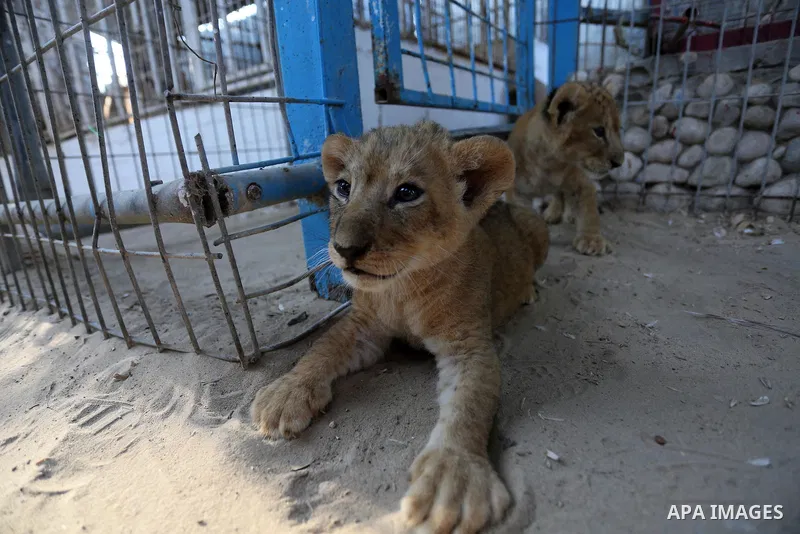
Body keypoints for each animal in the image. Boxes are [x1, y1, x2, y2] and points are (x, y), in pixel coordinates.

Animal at [251, 120, 549, 533]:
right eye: (343, 187)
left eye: (407, 193)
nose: (344, 249)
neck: (404, 288)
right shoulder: (364, 328)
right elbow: (321, 348)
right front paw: (285, 393)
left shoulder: (468, 344)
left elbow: (470, 402)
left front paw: (452, 476)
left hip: (536, 225)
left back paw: (531, 290)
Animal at [506, 81, 624, 256]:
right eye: (599, 131)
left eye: (618, 130)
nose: (619, 162)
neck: (548, 163)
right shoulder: (517, 191)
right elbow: (523, 216)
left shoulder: (582, 183)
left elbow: (589, 212)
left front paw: (592, 240)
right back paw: (553, 214)